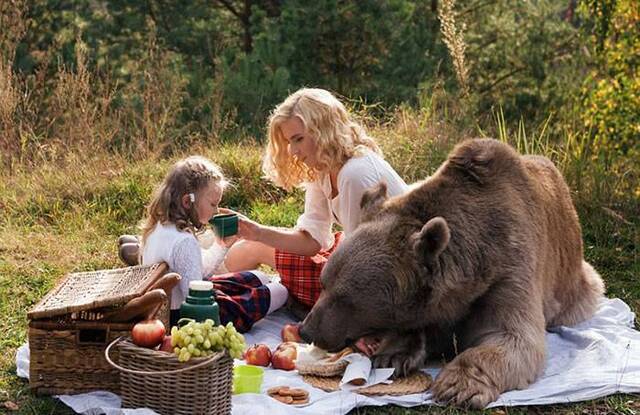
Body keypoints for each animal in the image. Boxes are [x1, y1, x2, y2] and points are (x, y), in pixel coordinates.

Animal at [300, 139, 604, 410]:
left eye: (346, 299)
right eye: (324, 283)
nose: (307, 329)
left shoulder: (510, 268)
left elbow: (513, 336)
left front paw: (457, 385)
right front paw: (394, 353)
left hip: (576, 284)